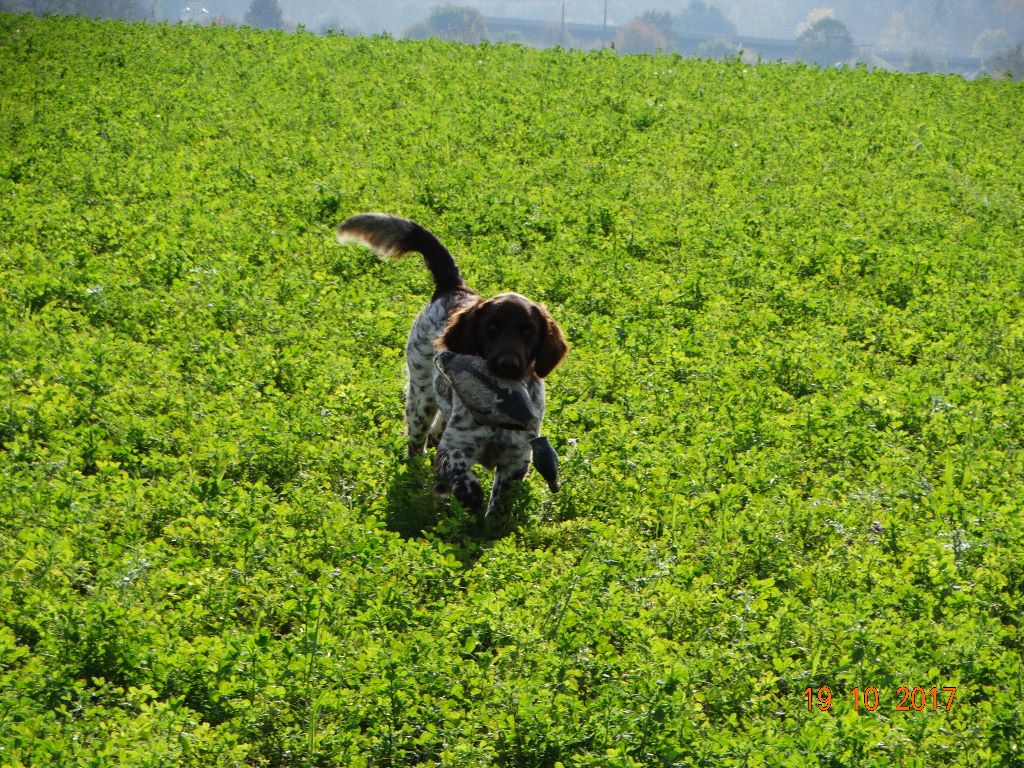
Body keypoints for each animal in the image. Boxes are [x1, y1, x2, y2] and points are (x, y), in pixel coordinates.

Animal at [335, 214, 565, 520]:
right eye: (491, 327)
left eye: (528, 330)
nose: (507, 365)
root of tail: (454, 287)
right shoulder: (456, 447)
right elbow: (459, 470)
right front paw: (466, 494)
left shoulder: (516, 460)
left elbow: (498, 507)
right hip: (419, 398)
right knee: (417, 445)